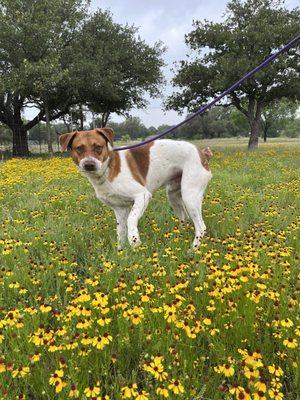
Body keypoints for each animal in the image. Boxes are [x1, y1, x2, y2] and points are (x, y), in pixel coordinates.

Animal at [59, 130, 213, 250]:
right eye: (79, 148)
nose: (89, 164)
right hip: (174, 196)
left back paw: (193, 249)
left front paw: (134, 240)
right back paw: (178, 238)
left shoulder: (142, 196)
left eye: (98, 147)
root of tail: (202, 154)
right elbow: (120, 232)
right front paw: (121, 253)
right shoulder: (119, 209)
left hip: (189, 195)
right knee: (184, 218)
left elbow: (131, 220)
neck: (107, 169)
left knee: (201, 226)